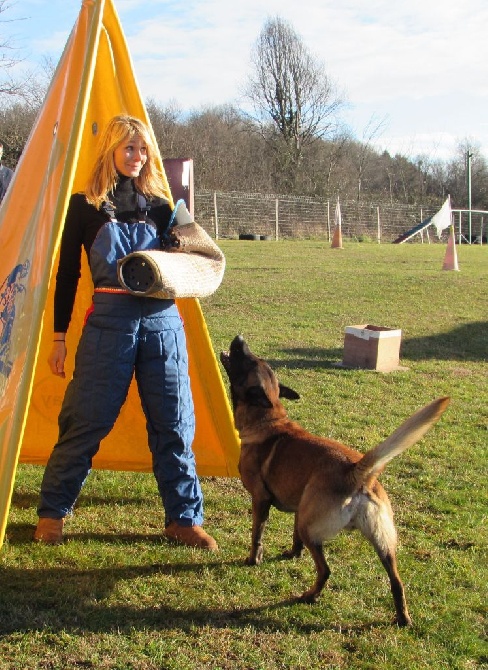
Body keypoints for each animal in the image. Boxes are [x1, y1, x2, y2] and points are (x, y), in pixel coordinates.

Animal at [221, 336, 450, 632]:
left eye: (248, 360)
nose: (239, 339)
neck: (268, 420)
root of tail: (357, 472)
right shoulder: (300, 508)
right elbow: (294, 537)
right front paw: (292, 554)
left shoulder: (260, 500)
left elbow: (256, 535)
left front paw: (253, 560)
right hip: (383, 542)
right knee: (397, 583)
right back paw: (402, 618)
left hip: (313, 530)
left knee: (325, 570)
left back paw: (308, 596)